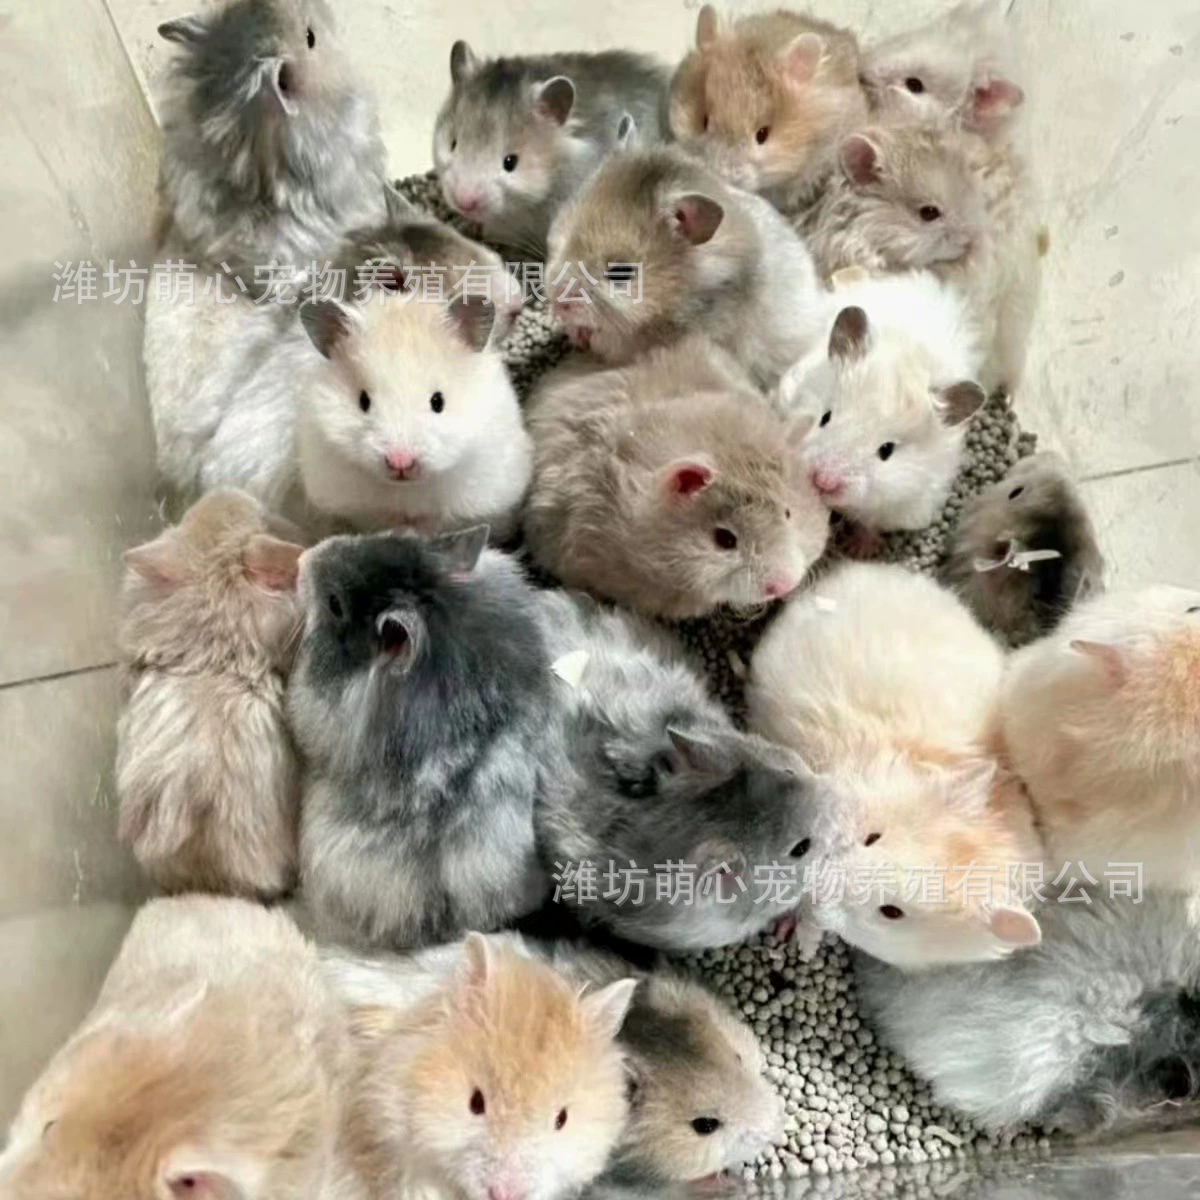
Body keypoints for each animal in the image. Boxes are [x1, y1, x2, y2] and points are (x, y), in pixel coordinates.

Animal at [296, 289, 533, 539]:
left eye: (438, 401)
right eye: (363, 401)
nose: (401, 463)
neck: (408, 490)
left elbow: (438, 520)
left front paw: (417, 530)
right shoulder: (355, 503)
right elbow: (384, 518)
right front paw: (403, 530)